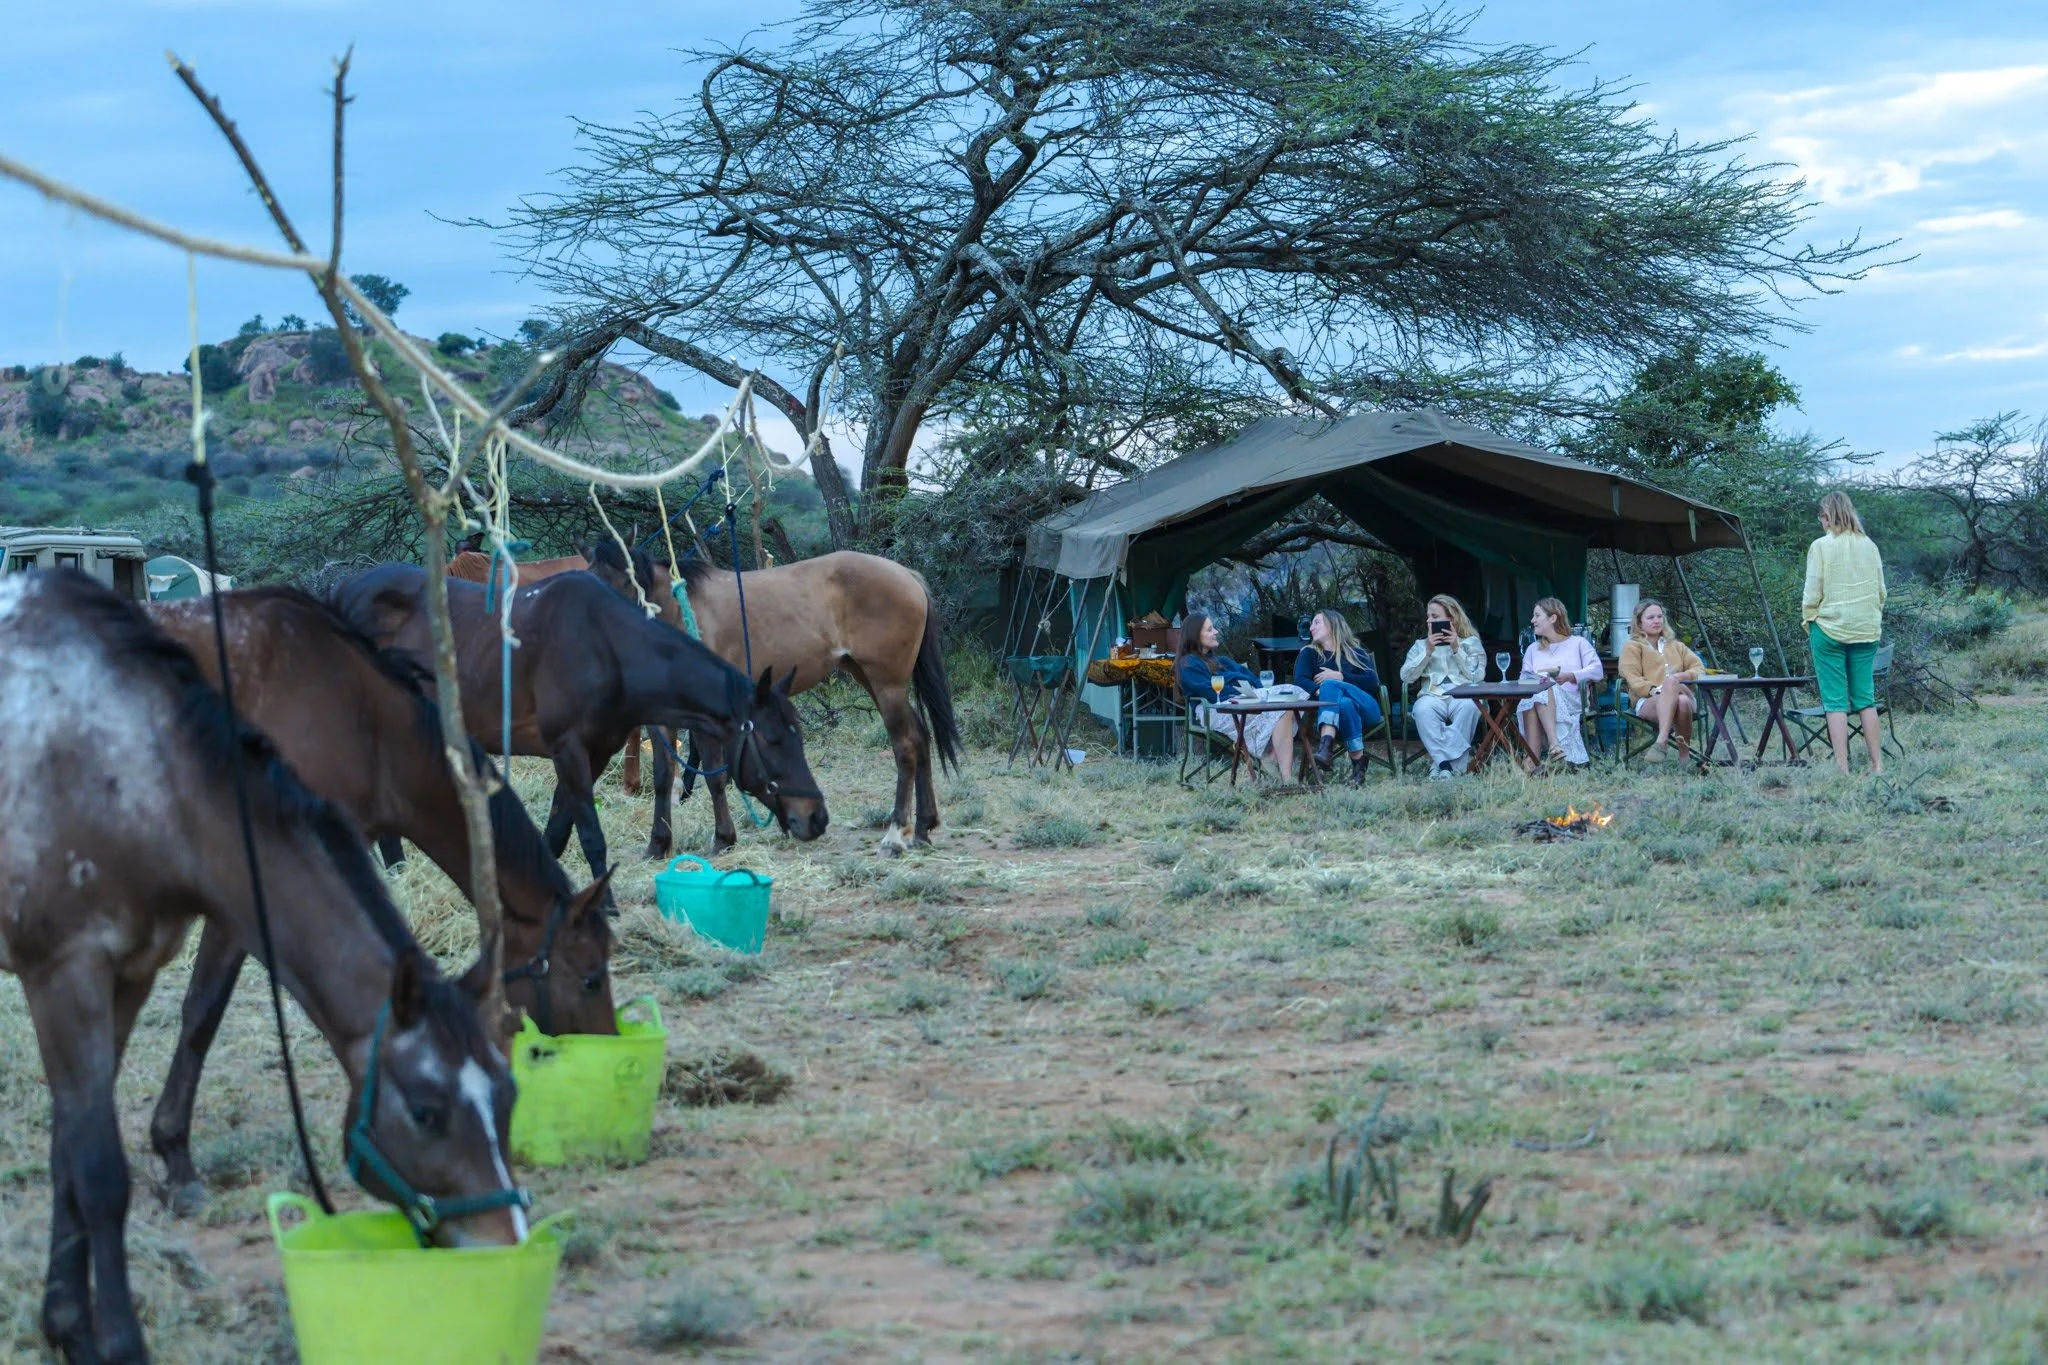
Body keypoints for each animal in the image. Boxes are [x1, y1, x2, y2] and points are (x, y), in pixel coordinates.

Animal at [0, 569, 526, 1363]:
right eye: (425, 1111)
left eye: (507, 1095)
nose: (506, 1244)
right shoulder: (67, 972)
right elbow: (100, 1168)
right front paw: (117, 1338)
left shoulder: (129, 973)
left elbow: (70, 1152)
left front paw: (66, 1325)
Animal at [330, 564, 827, 883]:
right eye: (773, 740)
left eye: (799, 737)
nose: (816, 818)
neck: (604, 647)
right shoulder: (567, 749)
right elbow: (590, 835)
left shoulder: (594, 752)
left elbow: (557, 830)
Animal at [665, 551, 960, 855]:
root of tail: (907, 576)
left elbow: (711, 774)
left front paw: (721, 838)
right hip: (869, 679)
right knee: (920, 736)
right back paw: (923, 827)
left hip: (887, 686)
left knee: (905, 746)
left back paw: (895, 834)